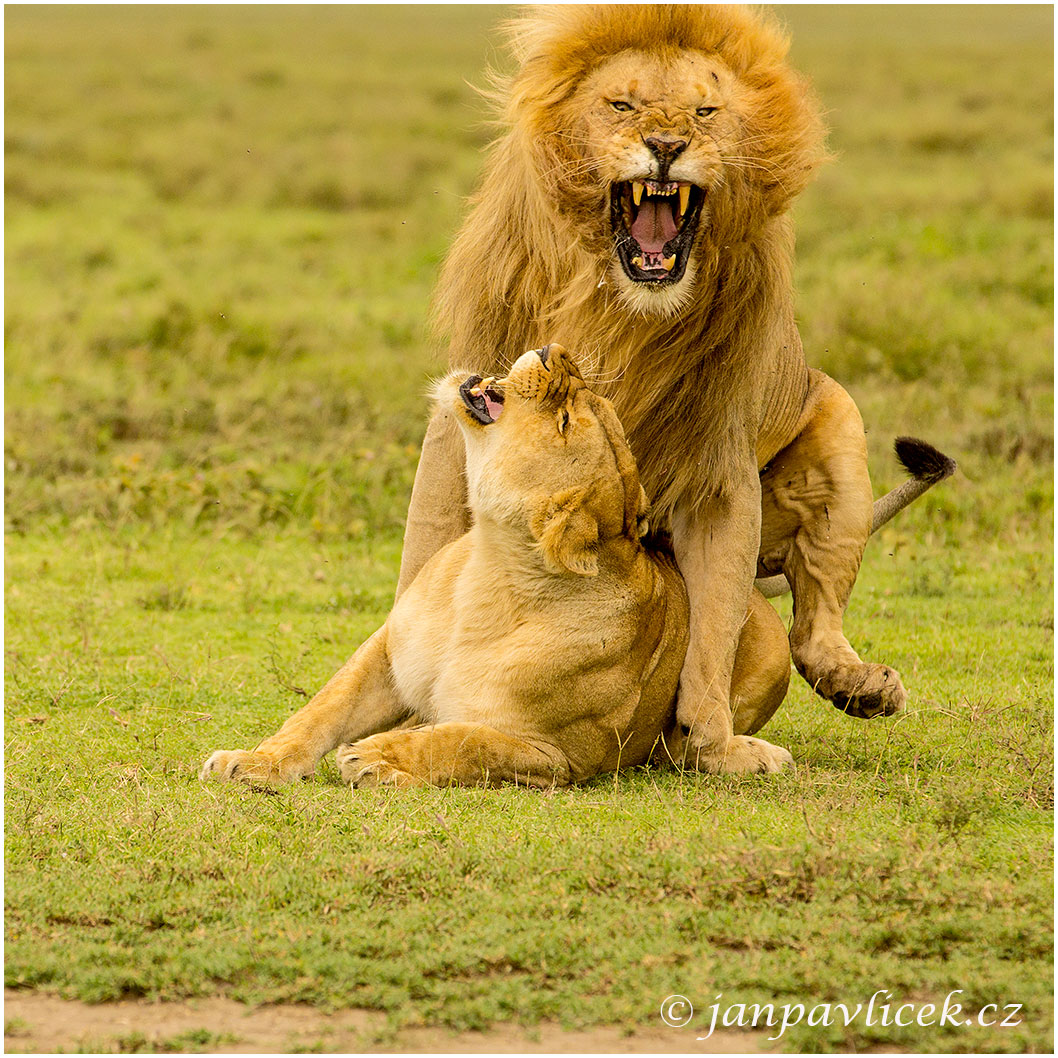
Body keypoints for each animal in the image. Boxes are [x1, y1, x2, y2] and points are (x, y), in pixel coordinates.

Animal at [205, 347, 702, 787]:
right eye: (589, 402)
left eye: (563, 422)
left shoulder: (557, 756)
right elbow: (322, 708)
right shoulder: (390, 654)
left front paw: (375, 756)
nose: (556, 351)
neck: (491, 572)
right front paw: (256, 763)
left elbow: (461, 741)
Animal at [397, 4, 935, 774]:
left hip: (840, 437)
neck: (622, 311)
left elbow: (714, 623)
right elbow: (426, 553)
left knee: (813, 615)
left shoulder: (719, 468)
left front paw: (712, 743)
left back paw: (858, 683)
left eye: (706, 111)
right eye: (621, 105)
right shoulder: (461, 413)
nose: (666, 144)